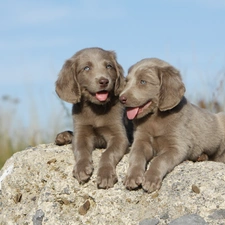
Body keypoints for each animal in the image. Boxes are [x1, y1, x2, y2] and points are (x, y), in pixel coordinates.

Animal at [56, 47, 129, 188]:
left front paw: (106, 174)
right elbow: (81, 149)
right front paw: (81, 168)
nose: (104, 81)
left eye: (109, 66)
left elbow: (108, 153)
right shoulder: (81, 132)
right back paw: (63, 136)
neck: (96, 109)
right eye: (86, 68)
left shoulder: (119, 136)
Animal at [119, 57, 225, 192]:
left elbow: (159, 159)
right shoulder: (141, 140)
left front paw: (150, 179)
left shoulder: (177, 146)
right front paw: (132, 177)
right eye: (126, 81)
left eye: (143, 82)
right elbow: (136, 156)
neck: (155, 118)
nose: (121, 98)